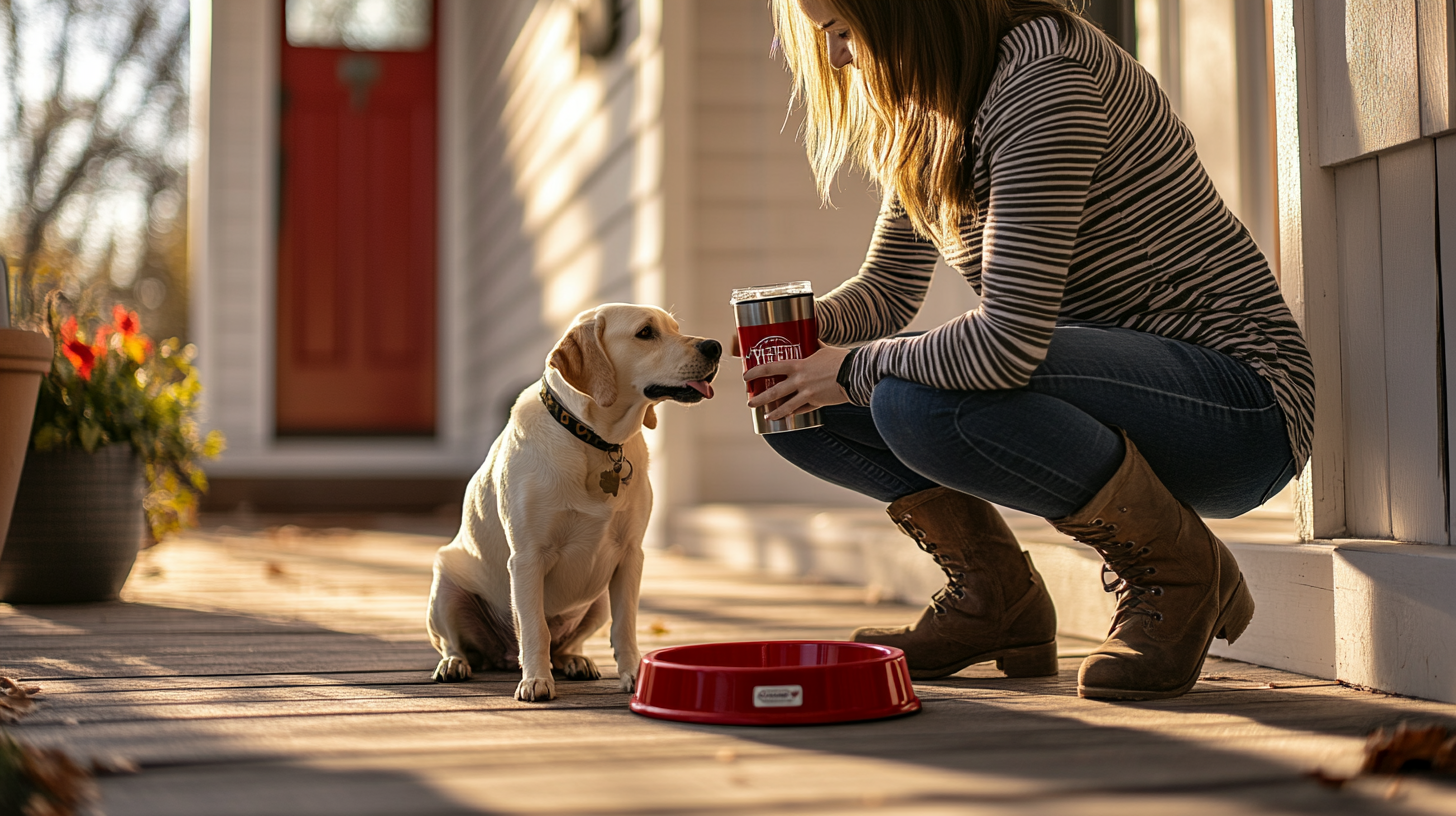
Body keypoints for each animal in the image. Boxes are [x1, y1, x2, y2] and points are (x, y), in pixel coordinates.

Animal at [425, 306, 722, 702]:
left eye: (675, 328)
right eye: (646, 333)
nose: (715, 346)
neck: (595, 441)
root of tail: (502, 656)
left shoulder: (630, 555)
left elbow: (624, 627)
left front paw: (633, 675)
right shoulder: (527, 557)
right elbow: (535, 627)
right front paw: (536, 680)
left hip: (597, 601)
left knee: (566, 644)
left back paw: (575, 660)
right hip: (445, 585)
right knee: (453, 643)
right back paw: (455, 664)